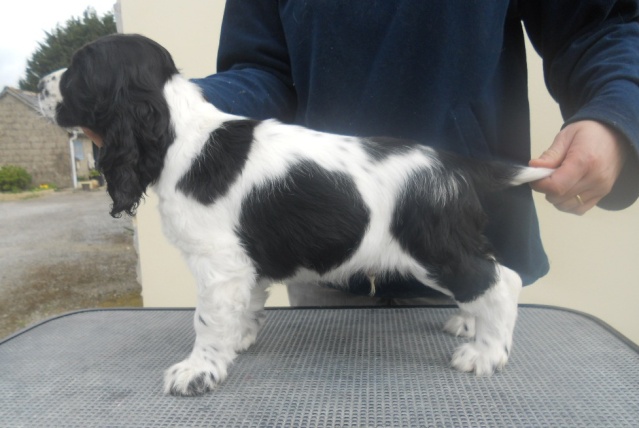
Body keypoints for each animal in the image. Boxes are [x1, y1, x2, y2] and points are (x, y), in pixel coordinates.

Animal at [40, 35, 552, 396]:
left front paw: (198, 371)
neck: (179, 134)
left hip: (433, 248)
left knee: (501, 282)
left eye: (79, 71)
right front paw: (237, 340)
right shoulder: (243, 262)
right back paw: (469, 323)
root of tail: (451, 163)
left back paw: (485, 353)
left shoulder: (218, 262)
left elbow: (207, 319)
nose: (42, 82)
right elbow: (244, 305)